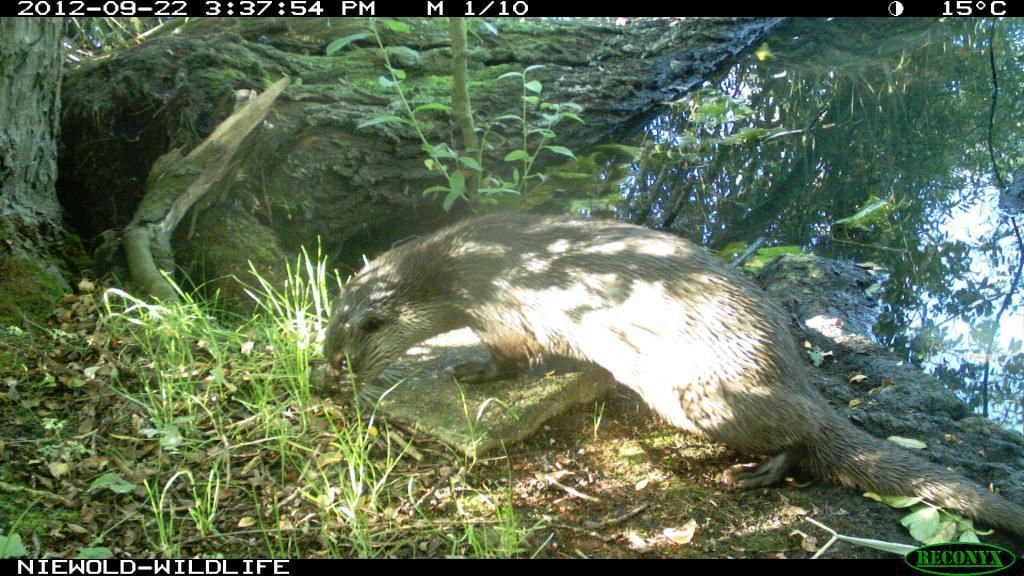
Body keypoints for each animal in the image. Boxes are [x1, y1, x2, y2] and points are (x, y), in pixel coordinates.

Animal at [325, 213, 1024, 537]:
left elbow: (510, 358)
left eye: (353, 337)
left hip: (698, 393)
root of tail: (789, 367)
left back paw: (760, 471)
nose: (329, 370)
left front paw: (471, 369)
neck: (462, 269)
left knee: (800, 433)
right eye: (328, 321)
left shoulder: (502, 309)